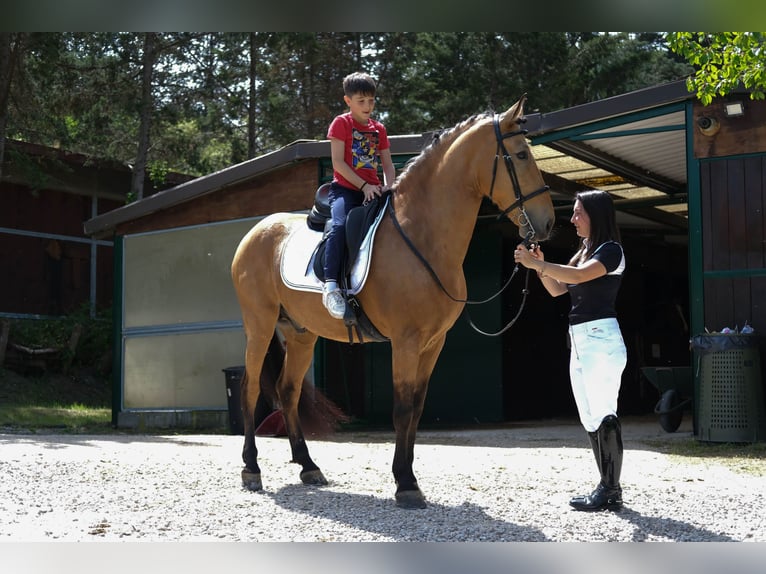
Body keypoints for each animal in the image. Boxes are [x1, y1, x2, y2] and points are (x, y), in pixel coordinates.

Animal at [230, 97, 555, 508]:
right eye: (521, 154)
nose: (548, 224)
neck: (421, 235)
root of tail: (255, 232)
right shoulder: (405, 342)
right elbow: (401, 410)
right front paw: (405, 484)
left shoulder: (433, 344)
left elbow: (415, 410)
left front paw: (410, 477)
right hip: (259, 327)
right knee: (251, 390)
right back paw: (251, 469)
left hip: (302, 335)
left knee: (288, 392)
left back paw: (308, 466)